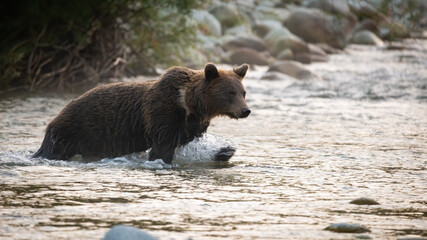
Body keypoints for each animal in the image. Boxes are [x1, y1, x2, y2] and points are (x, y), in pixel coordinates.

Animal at [35, 62, 252, 164]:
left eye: (243, 92)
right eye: (230, 93)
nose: (245, 110)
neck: (188, 105)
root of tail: (55, 117)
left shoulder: (192, 124)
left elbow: (189, 143)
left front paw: (224, 151)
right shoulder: (164, 113)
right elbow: (162, 147)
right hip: (72, 131)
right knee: (54, 149)